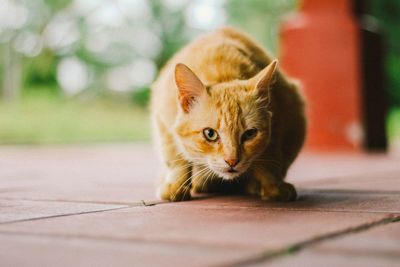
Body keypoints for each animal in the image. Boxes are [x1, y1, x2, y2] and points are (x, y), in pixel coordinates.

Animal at [151, 27, 306, 203]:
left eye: (250, 133)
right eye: (210, 134)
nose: (232, 161)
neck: (222, 74)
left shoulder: (280, 119)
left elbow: (271, 158)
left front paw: (273, 186)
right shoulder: (164, 123)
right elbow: (175, 158)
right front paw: (175, 185)